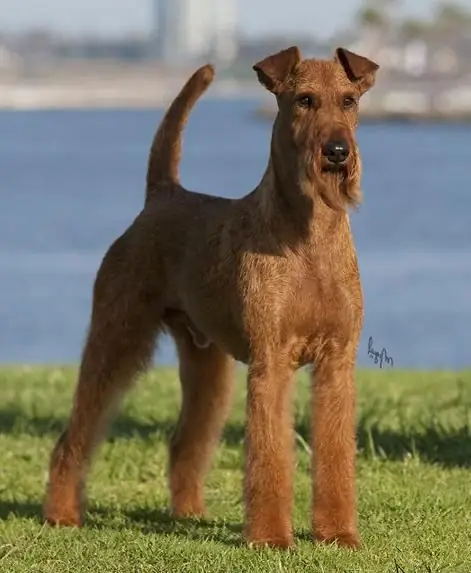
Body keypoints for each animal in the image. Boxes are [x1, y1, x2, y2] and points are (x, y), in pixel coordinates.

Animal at [45, 45, 380, 548]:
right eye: (304, 100)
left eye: (348, 101)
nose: (337, 152)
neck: (310, 235)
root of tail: (162, 195)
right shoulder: (272, 362)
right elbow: (269, 455)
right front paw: (270, 538)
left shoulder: (336, 361)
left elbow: (336, 453)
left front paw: (339, 534)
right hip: (116, 336)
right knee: (75, 435)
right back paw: (61, 515)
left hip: (208, 363)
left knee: (185, 441)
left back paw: (189, 514)